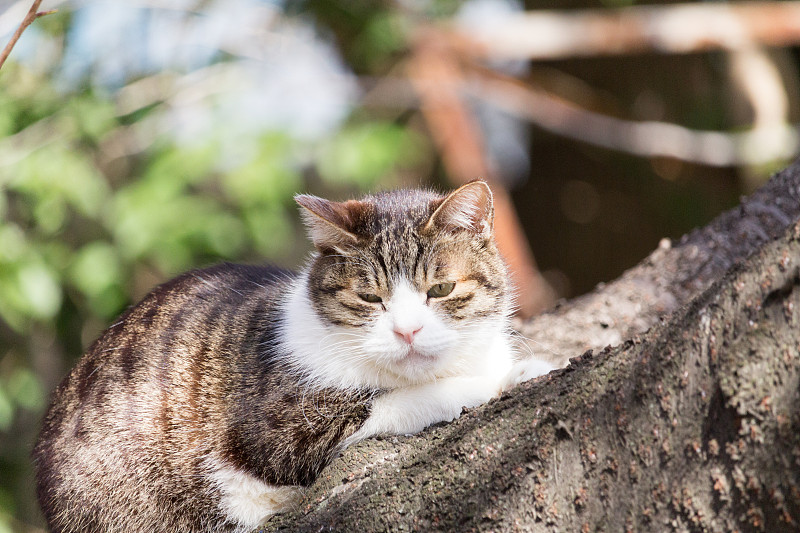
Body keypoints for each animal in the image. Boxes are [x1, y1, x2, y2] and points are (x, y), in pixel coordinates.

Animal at [34, 180, 552, 532]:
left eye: (441, 289)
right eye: (370, 298)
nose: (408, 330)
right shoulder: (278, 432)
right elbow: (404, 400)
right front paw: (496, 380)